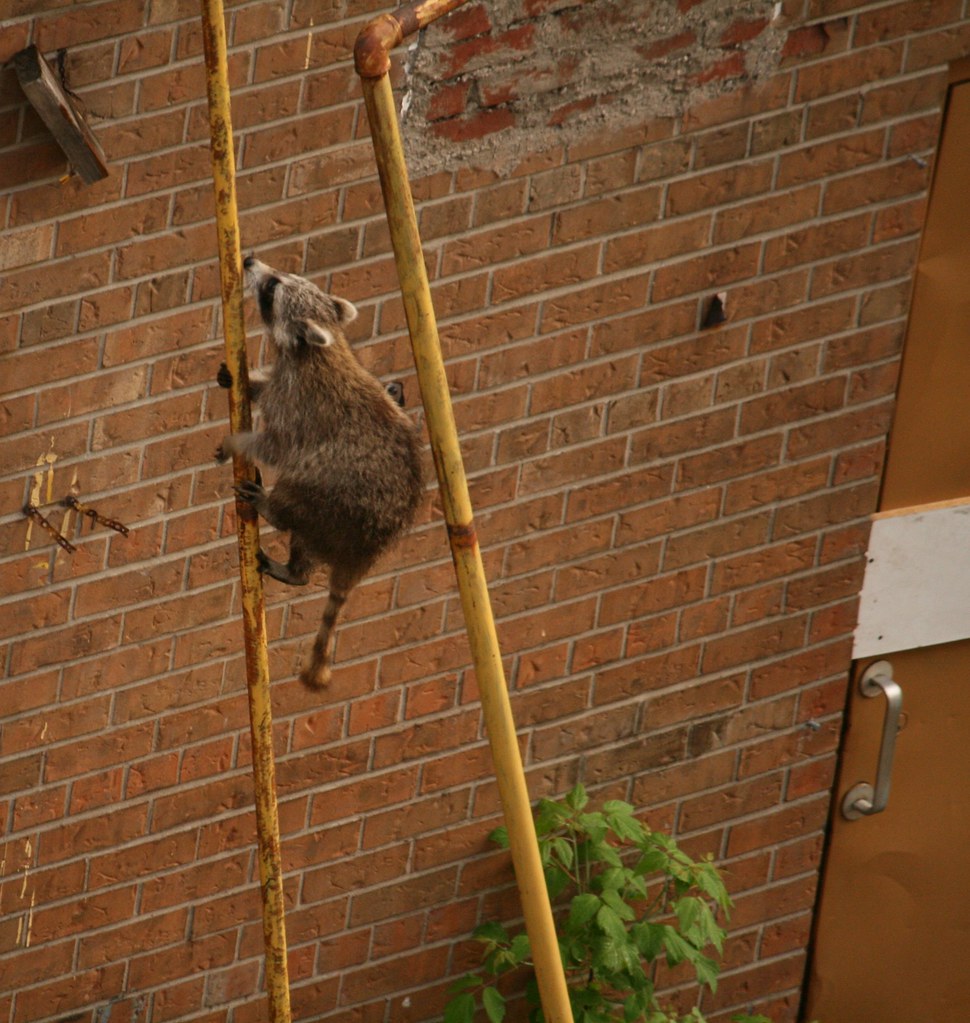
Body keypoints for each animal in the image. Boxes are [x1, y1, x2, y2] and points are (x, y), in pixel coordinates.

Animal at [216, 256, 423, 689]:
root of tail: (367, 549)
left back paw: (272, 508)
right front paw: (247, 381)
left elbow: (276, 445)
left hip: (334, 501)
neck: (310, 349)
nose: (249, 259)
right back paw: (297, 571)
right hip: (330, 522)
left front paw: (233, 443)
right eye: (281, 276)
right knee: (305, 540)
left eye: (272, 288)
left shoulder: (299, 403)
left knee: (293, 496)